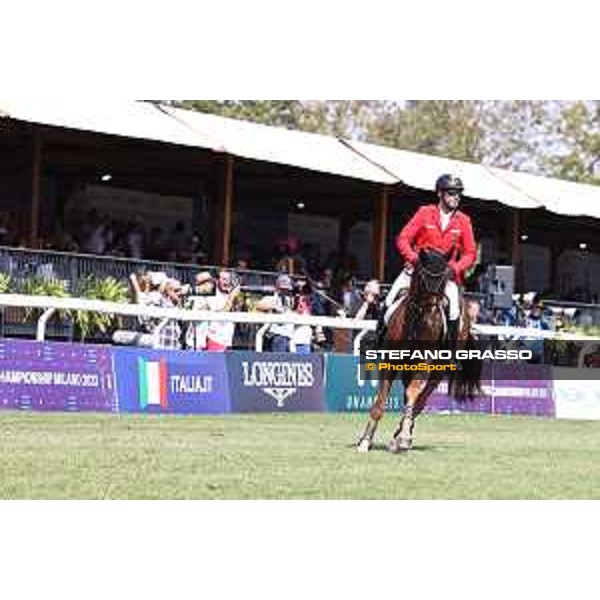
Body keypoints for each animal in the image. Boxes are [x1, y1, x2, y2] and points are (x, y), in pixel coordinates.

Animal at [358, 250, 480, 454]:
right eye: (423, 279)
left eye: (443, 280)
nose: (431, 318)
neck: (417, 322)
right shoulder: (390, 363)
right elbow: (380, 401)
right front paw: (365, 440)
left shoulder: (424, 364)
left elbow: (414, 394)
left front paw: (404, 437)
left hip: (440, 370)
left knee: (420, 401)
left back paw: (401, 437)